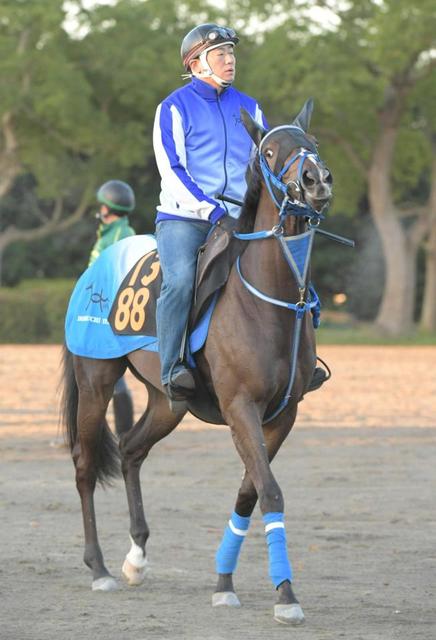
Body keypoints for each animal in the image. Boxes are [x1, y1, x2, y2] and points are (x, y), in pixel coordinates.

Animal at [61, 98, 334, 625]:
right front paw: (286, 595)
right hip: (95, 378)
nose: (317, 180)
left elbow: (250, 491)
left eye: (311, 143)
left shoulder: (283, 414)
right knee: (85, 463)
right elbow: (270, 490)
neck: (271, 300)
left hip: (169, 402)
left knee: (130, 450)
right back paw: (99, 568)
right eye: (269, 151)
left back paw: (135, 559)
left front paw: (224, 582)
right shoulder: (240, 407)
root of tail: (93, 266)